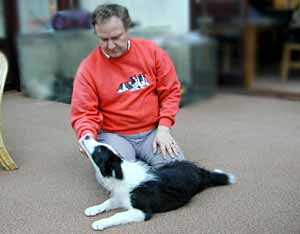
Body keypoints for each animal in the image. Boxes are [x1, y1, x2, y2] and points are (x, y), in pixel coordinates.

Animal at [80, 134, 237, 229]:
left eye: (99, 150)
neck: (121, 172)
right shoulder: (122, 196)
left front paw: (100, 223)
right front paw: (93, 209)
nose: (87, 135)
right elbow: (108, 202)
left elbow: (118, 215)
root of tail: (198, 170)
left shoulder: (142, 211)